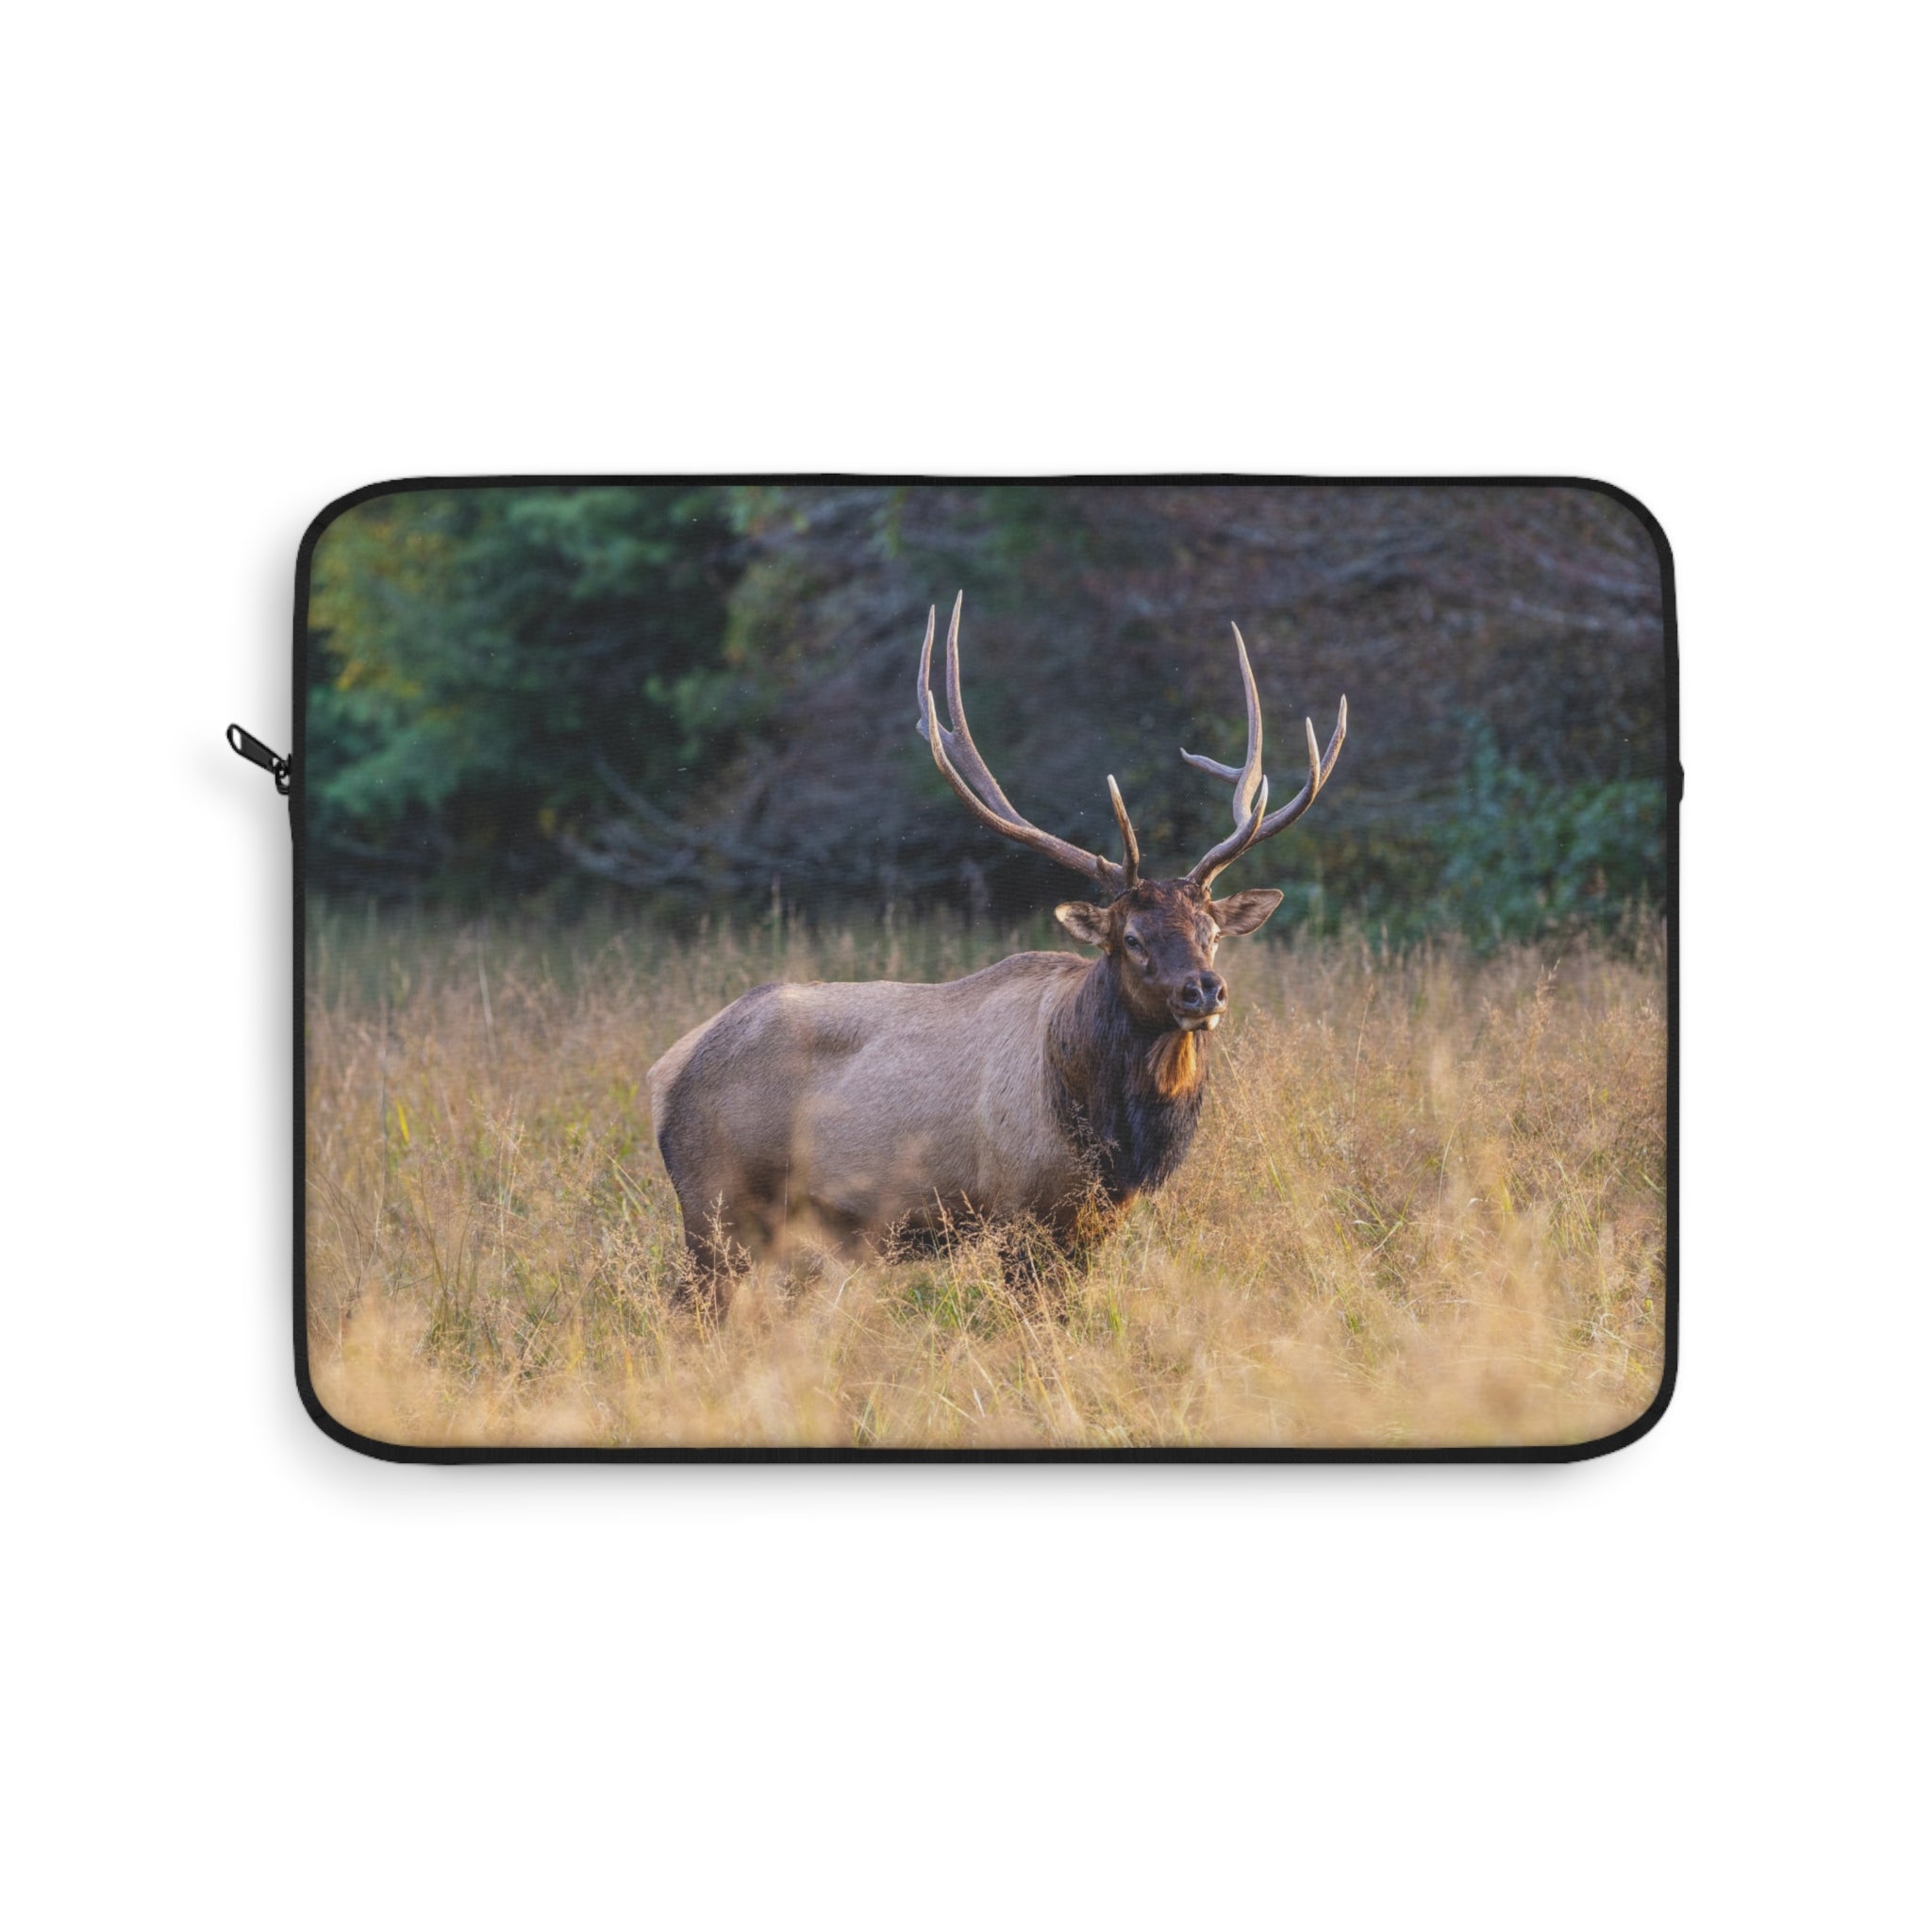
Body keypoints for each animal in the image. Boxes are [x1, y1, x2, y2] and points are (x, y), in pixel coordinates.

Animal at [646, 593, 1346, 1309]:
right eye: (1132, 939)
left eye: (1211, 932)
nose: (1203, 989)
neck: (1107, 1128)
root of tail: (665, 1072)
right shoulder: (1019, 1210)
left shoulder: (1093, 1220)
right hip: (716, 1203)